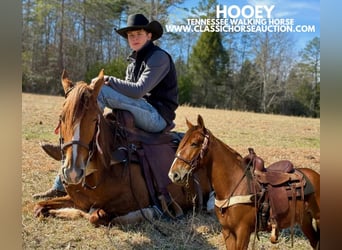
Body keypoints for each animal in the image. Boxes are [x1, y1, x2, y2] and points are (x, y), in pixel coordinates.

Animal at [34, 69, 211, 226]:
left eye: (94, 119)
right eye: (61, 117)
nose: (73, 172)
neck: (100, 169)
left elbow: (95, 216)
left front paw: (150, 212)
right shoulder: (74, 199)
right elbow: (39, 207)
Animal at [168, 115, 320, 250]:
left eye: (194, 144)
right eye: (180, 143)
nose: (173, 174)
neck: (233, 185)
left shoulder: (243, 231)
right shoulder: (227, 231)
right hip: (304, 220)